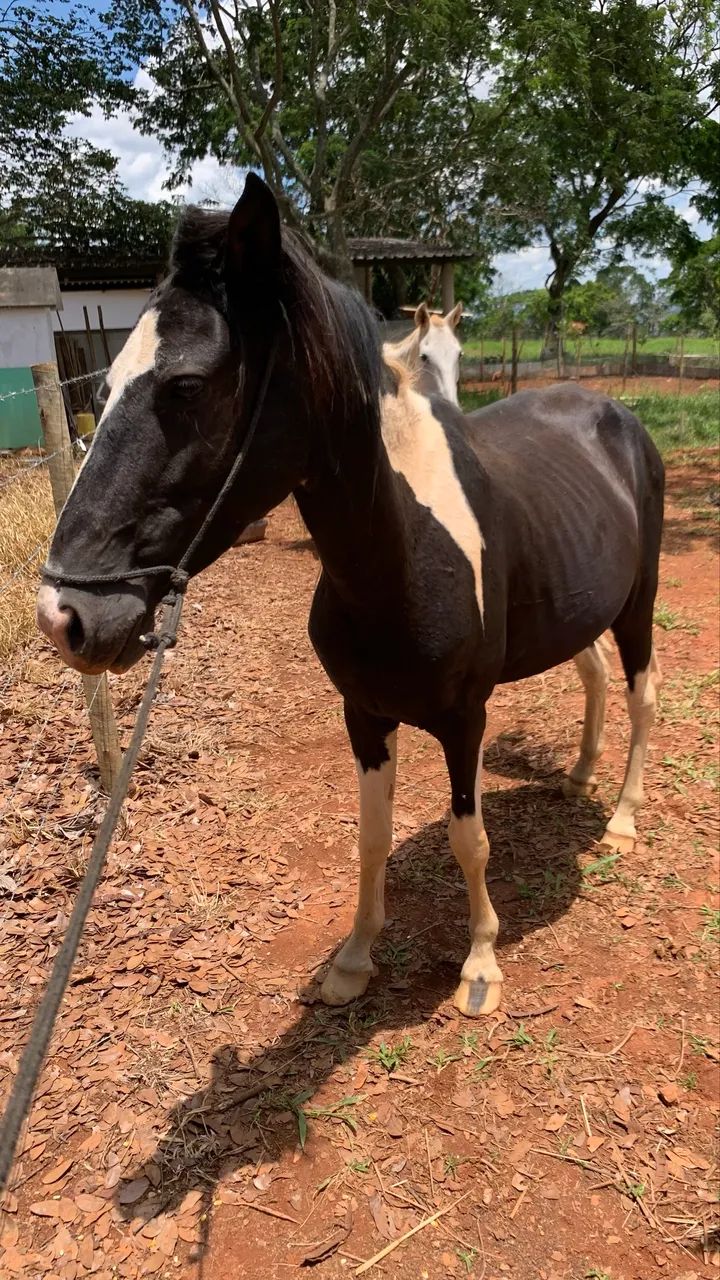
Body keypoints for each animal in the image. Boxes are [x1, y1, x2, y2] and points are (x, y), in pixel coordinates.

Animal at [36, 174, 664, 1018]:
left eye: (187, 386)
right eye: (102, 390)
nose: (63, 617)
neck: (402, 552)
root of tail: (615, 415)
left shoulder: (465, 720)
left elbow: (470, 839)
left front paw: (480, 965)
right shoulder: (363, 715)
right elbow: (370, 837)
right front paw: (355, 959)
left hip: (638, 607)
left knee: (639, 696)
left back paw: (623, 819)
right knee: (594, 674)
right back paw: (577, 776)